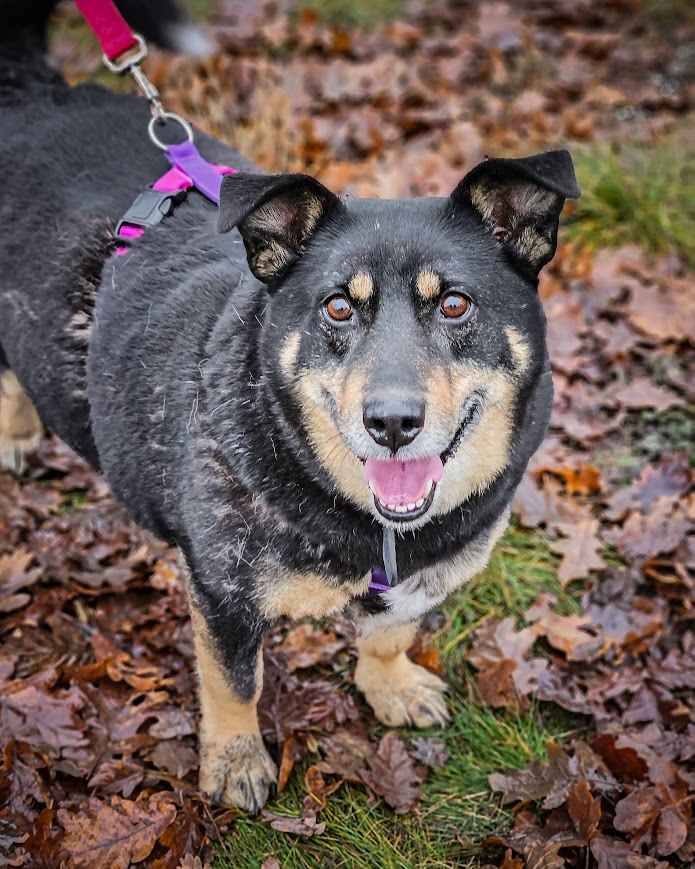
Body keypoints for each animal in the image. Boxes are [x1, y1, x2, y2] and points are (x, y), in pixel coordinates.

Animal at [0, 5, 580, 812]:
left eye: (455, 304)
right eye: (337, 306)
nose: (391, 423)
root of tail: (31, 87)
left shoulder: (421, 580)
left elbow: (388, 632)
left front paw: (390, 686)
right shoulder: (222, 591)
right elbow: (233, 681)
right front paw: (236, 761)